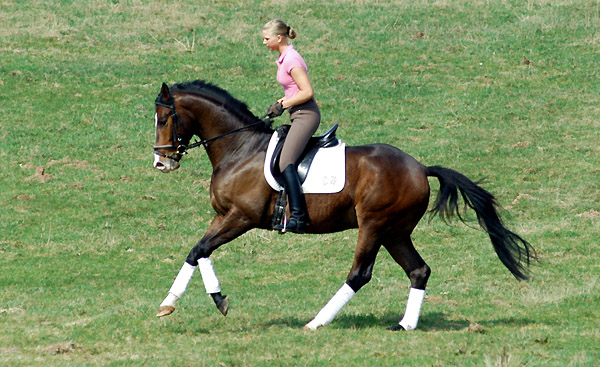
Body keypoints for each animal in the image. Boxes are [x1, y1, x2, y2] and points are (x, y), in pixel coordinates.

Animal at [151, 81, 536, 334]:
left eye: (163, 119)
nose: (161, 162)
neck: (240, 148)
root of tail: (420, 168)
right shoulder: (223, 216)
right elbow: (197, 251)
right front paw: (181, 302)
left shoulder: (240, 217)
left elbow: (201, 249)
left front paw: (200, 301)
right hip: (395, 232)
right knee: (419, 271)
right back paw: (404, 325)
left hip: (374, 226)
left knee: (359, 274)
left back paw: (317, 321)